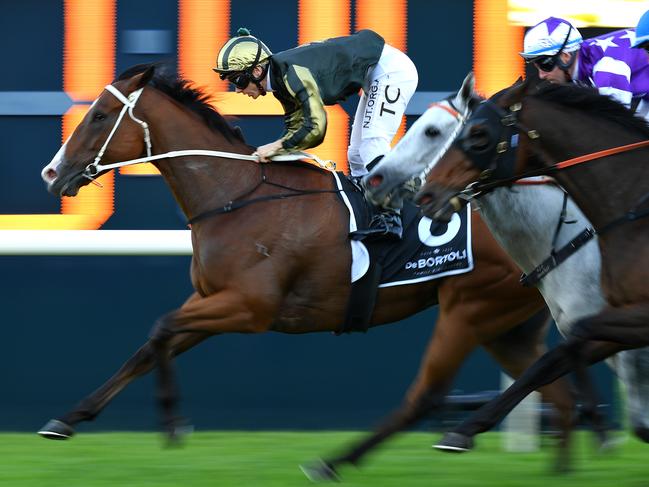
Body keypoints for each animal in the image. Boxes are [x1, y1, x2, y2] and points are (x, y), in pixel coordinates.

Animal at [39, 65, 572, 480]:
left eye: (99, 116)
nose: (51, 173)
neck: (237, 195)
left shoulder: (249, 307)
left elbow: (160, 328)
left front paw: (173, 422)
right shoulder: (211, 300)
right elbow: (150, 345)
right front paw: (66, 419)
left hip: (472, 306)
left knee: (433, 393)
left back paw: (338, 461)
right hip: (507, 324)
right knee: (556, 383)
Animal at [412, 78, 648, 456]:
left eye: (479, 133)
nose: (426, 195)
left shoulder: (626, 316)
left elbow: (575, 343)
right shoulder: (621, 318)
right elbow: (547, 362)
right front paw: (462, 430)